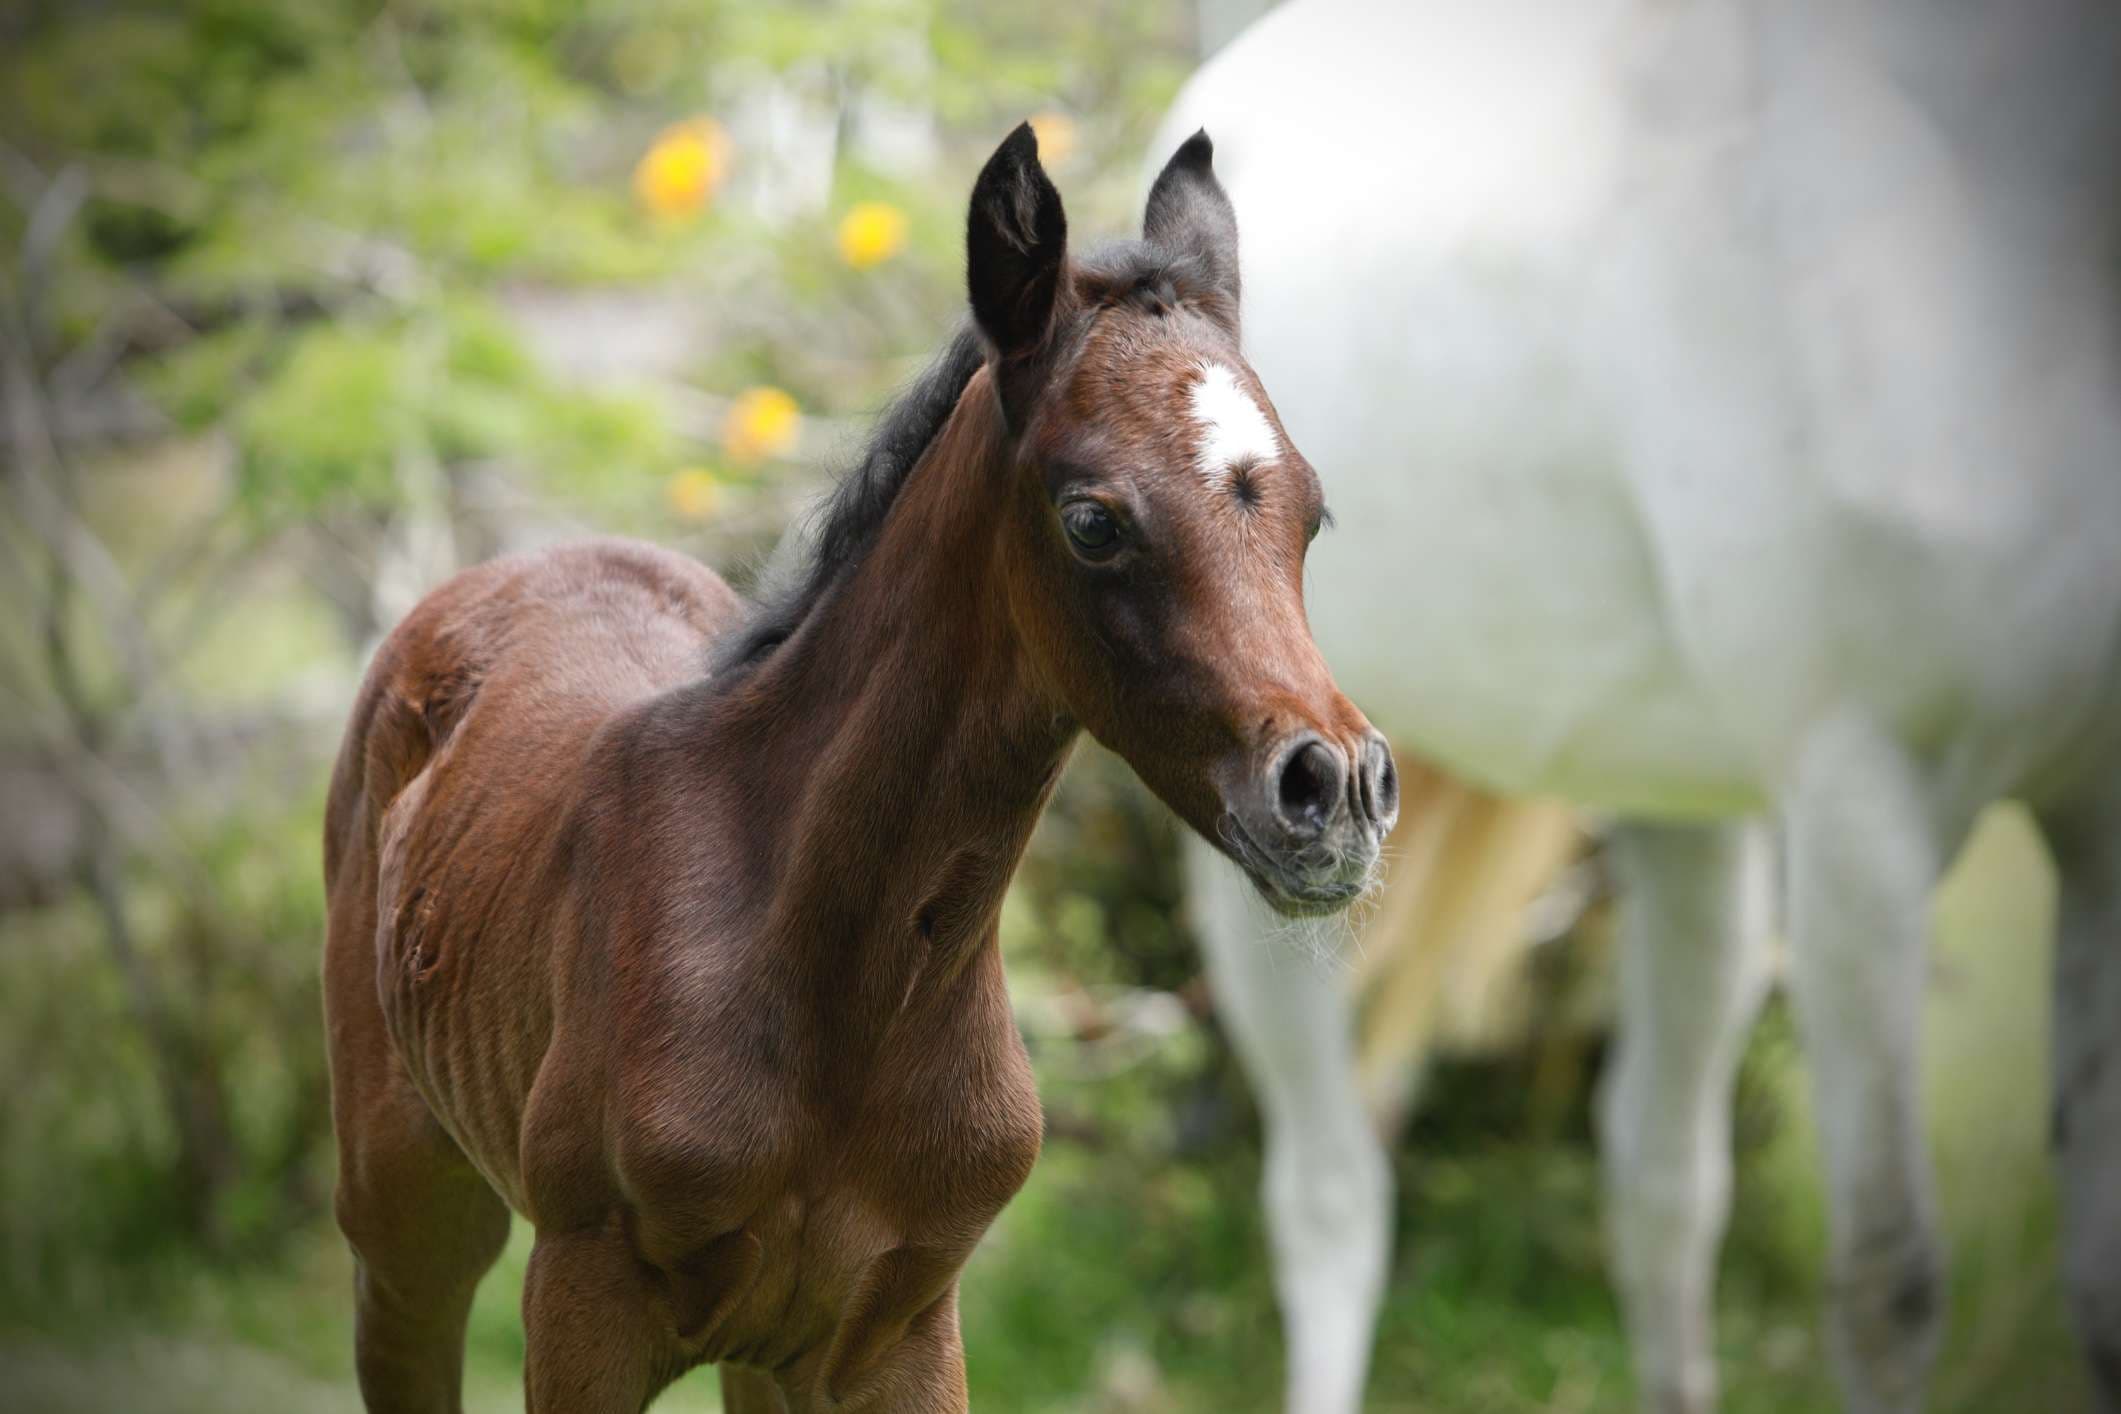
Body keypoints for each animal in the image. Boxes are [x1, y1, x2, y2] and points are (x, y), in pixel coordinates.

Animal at [322, 121, 1391, 1414]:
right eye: (1093, 520)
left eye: (1312, 515)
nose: (1337, 792)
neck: (838, 974)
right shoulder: (581, 1307)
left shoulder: (898, 1325)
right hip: (406, 1224)